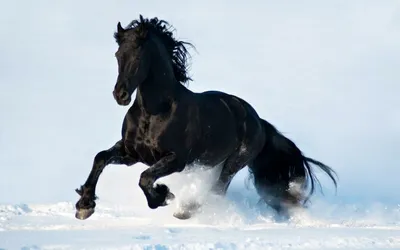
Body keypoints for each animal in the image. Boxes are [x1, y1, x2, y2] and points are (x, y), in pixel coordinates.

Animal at [75, 15, 338, 220]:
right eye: (118, 54)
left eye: (138, 56)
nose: (120, 95)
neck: (154, 113)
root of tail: (259, 122)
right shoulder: (132, 154)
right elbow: (101, 158)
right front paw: (84, 206)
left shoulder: (176, 160)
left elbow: (145, 178)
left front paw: (163, 195)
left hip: (233, 163)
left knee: (218, 189)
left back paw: (186, 210)